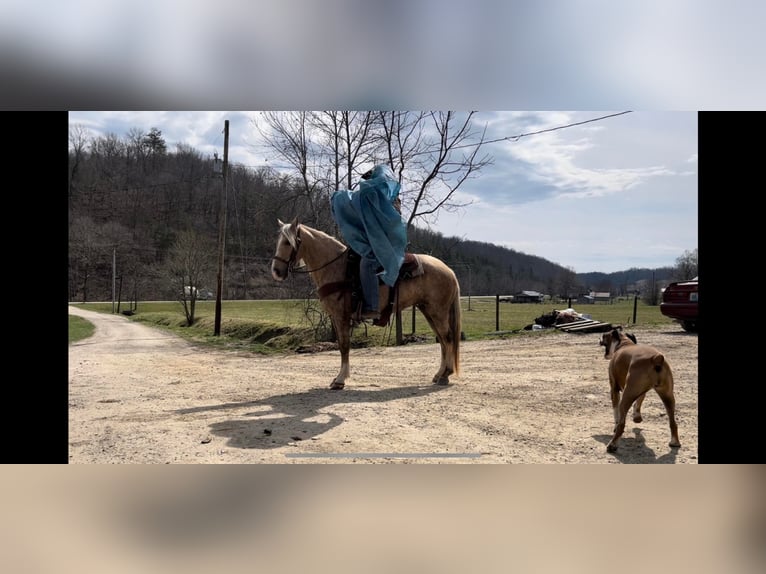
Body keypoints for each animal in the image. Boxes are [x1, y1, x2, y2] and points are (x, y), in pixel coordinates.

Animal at [272, 220, 462, 392]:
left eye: (288, 242)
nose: (276, 271)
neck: (337, 268)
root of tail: (449, 271)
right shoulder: (336, 317)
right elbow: (342, 345)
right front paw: (339, 378)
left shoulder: (341, 316)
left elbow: (344, 346)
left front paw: (340, 380)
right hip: (428, 310)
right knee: (442, 340)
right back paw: (439, 374)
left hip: (438, 311)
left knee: (447, 338)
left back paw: (445, 374)